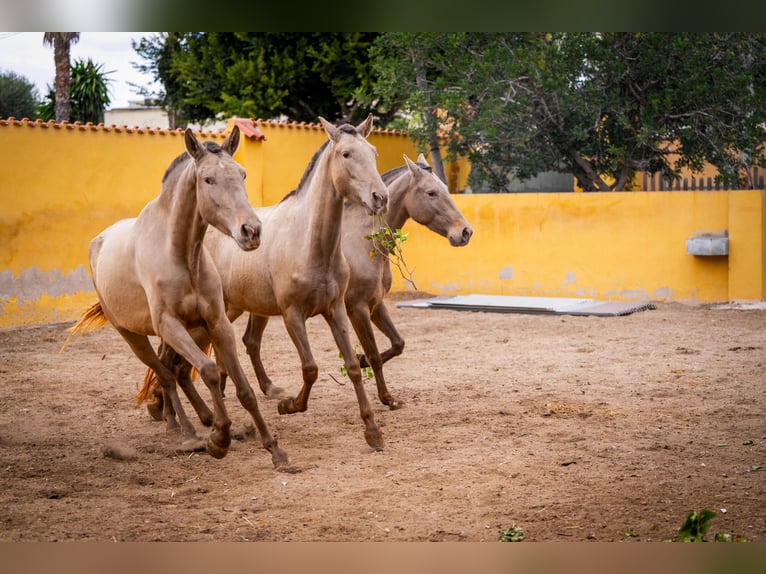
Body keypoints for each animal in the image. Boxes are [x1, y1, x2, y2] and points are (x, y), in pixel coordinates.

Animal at [67, 126, 289, 467]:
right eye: (208, 179)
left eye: (242, 174)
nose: (251, 231)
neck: (182, 255)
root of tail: (98, 241)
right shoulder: (169, 324)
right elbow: (209, 371)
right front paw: (219, 440)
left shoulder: (217, 323)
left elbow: (244, 388)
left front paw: (274, 450)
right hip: (134, 336)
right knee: (166, 373)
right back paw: (185, 430)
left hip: (184, 332)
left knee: (172, 370)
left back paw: (195, 417)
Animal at [141, 115, 389, 450]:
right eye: (346, 154)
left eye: (373, 152)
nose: (380, 197)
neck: (310, 242)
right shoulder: (292, 314)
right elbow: (310, 368)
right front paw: (289, 405)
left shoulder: (335, 309)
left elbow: (351, 366)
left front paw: (372, 430)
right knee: (173, 362)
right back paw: (175, 418)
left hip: (218, 317)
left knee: (182, 364)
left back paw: (190, 414)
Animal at [241, 153, 473, 409]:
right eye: (431, 192)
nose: (465, 232)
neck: (364, 242)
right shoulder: (357, 308)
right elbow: (374, 355)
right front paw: (384, 396)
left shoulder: (376, 304)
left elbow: (398, 343)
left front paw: (363, 364)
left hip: (260, 306)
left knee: (250, 341)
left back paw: (267, 388)